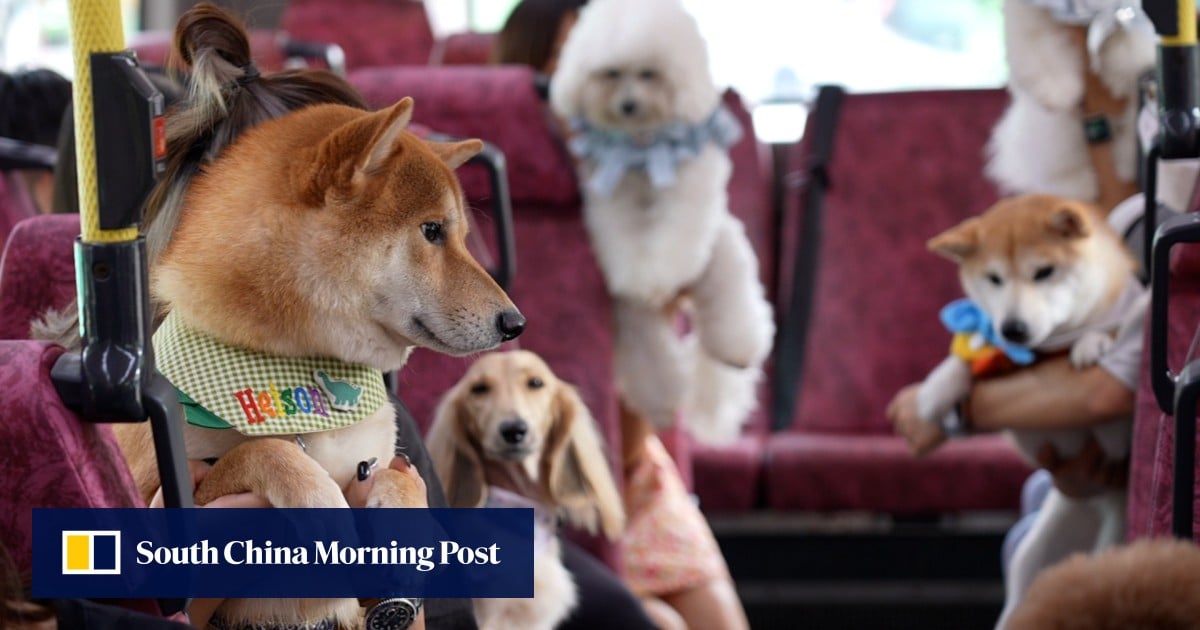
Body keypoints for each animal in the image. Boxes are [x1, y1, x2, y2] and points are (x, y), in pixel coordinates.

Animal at [549, 0, 772, 441]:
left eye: (649, 73)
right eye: (611, 73)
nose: (628, 105)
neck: (642, 151)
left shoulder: (689, 191)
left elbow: (677, 232)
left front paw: (660, 275)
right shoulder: (612, 198)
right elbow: (623, 239)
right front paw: (644, 281)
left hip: (723, 262)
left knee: (732, 314)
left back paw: (737, 350)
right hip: (632, 320)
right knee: (649, 353)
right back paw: (664, 401)